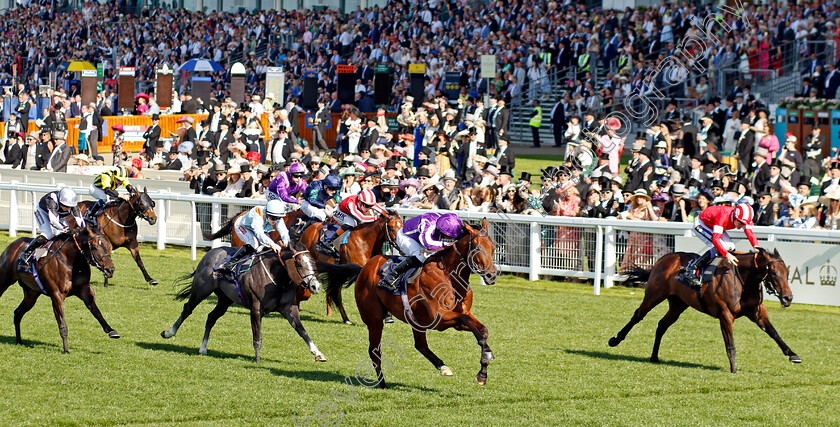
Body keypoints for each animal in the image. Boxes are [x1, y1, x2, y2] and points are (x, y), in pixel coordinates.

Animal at [162, 242, 362, 362]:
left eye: (313, 262)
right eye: (299, 264)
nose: (315, 286)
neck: (277, 277)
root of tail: (211, 252)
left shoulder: (289, 309)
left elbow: (302, 331)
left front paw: (318, 353)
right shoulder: (256, 308)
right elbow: (257, 336)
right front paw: (257, 359)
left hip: (225, 300)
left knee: (211, 317)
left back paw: (203, 348)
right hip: (201, 290)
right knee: (187, 309)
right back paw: (169, 332)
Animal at [354, 219, 498, 390]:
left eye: (493, 247)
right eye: (476, 247)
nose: (491, 275)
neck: (451, 277)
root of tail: (368, 264)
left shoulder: (461, 315)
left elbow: (483, 330)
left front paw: (483, 372)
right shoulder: (441, 318)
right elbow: (468, 321)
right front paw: (487, 353)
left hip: (415, 319)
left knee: (420, 344)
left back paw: (443, 366)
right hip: (374, 320)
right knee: (374, 350)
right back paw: (382, 383)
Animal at [608, 247, 796, 374]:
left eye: (787, 273)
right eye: (773, 273)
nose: (788, 298)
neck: (743, 279)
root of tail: (664, 259)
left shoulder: (757, 312)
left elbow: (773, 332)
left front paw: (792, 354)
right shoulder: (725, 315)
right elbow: (731, 345)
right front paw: (733, 369)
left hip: (678, 304)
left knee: (662, 325)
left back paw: (654, 357)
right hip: (654, 295)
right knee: (638, 315)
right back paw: (615, 340)